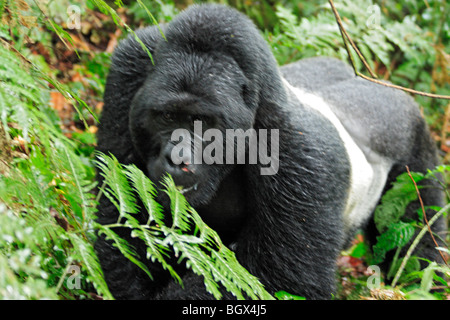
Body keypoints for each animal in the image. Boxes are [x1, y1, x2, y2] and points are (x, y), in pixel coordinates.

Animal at [96, 3, 446, 300]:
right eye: (168, 117)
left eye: (203, 122)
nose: (177, 158)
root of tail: (384, 86)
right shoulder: (129, 68)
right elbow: (122, 217)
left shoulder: (301, 152)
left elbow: (280, 278)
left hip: (415, 144)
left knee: (417, 240)